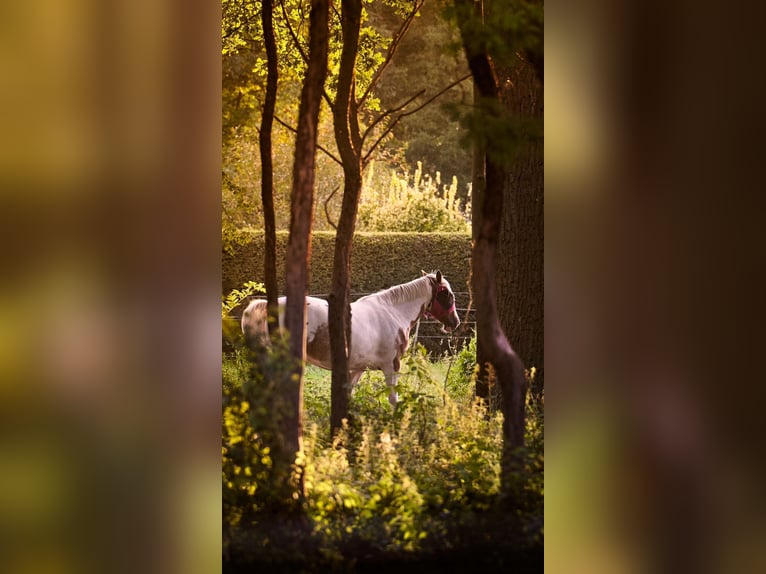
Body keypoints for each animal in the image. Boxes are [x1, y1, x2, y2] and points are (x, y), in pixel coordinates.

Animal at [243, 272, 462, 408]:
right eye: (446, 294)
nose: (455, 321)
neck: (393, 312)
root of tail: (268, 306)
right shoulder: (392, 364)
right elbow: (393, 398)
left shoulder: (358, 368)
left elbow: (348, 396)